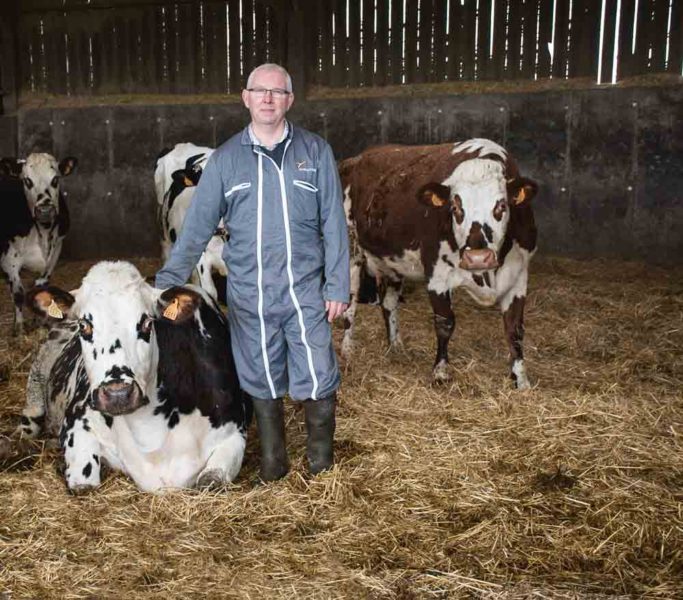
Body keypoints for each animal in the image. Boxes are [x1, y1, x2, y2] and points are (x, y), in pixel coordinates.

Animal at [0, 152, 78, 336]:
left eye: (55, 179)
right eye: (27, 180)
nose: (45, 210)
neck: (42, 233)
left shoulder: (55, 252)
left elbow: (41, 288)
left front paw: (40, 320)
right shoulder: (9, 259)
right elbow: (18, 294)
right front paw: (19, 327)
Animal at [20, 262, 252, 492]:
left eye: (147, 323)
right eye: (84, 326)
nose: (118, 394)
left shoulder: (234, 433)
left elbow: (211, 481)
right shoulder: (77, 421)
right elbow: (84, 484)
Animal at [342, 138, 540, 390]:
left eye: (502, 206)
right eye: (455, 208)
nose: (478, 258)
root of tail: (355, 159)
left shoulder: (519, 276)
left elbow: (514, 329)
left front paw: (521, 379)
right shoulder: (437, 275)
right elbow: (445, 323)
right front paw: (441, 372)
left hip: (393, 263)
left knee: (388, 304)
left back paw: (396, 347)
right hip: (351, 253)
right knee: (349, 305)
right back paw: (347, 351)